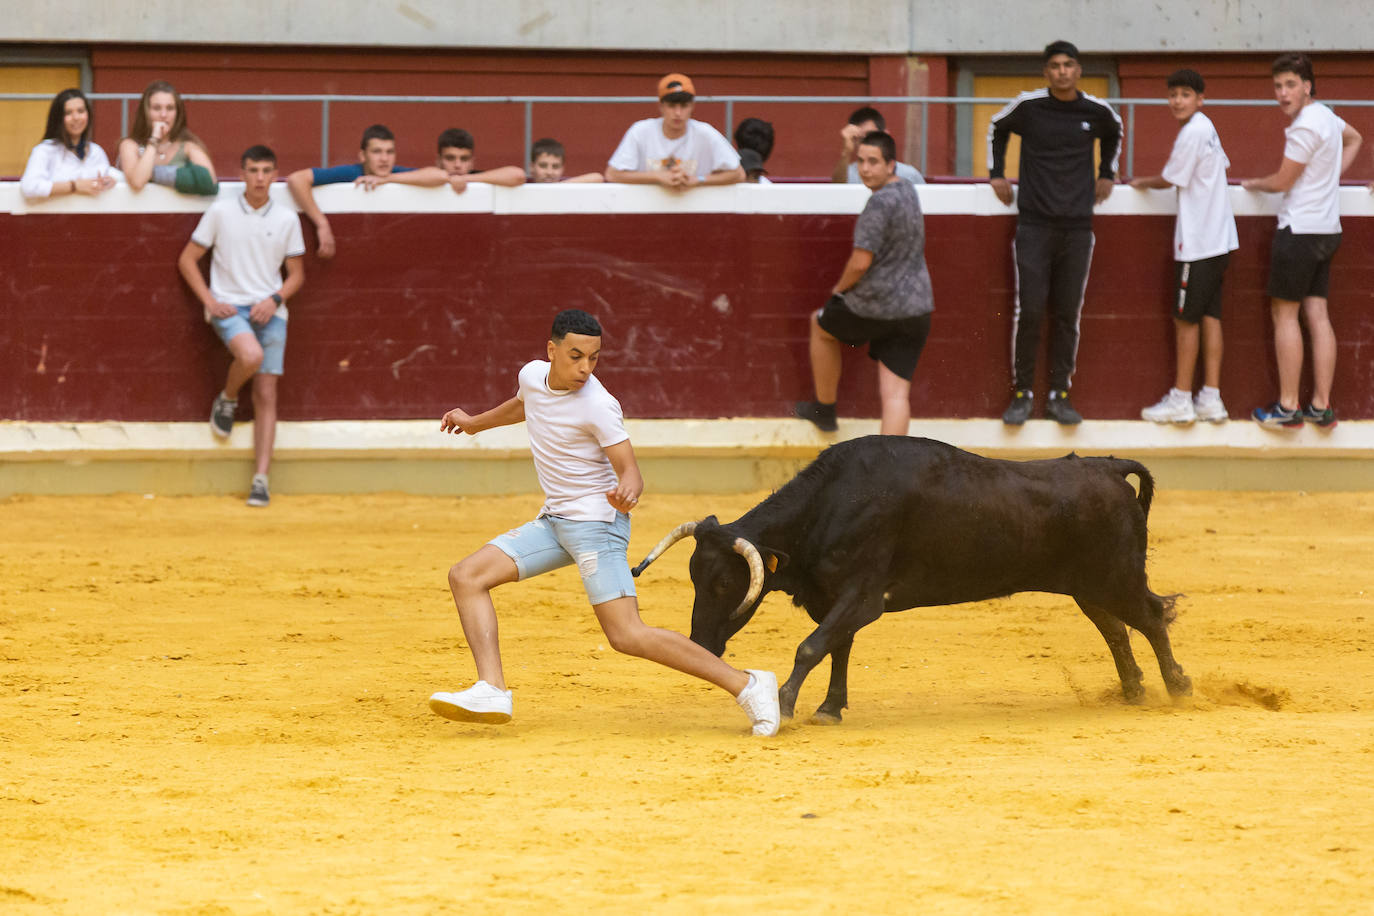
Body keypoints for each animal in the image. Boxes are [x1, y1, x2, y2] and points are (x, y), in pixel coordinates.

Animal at [632, 436, 1192, 725]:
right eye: (694, 579)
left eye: (724, 585)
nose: (700, 644)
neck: (828, 505)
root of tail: (1107, 466)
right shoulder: (834, 599)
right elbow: (837, 648)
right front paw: (830, 708)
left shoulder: (862, 596)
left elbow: (811, 647)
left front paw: (786, 704)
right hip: (1087, 587)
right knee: (1116, 629)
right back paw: (1134, 690)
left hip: (1115, 577)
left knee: (1151, 616)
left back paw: (1178, 687)